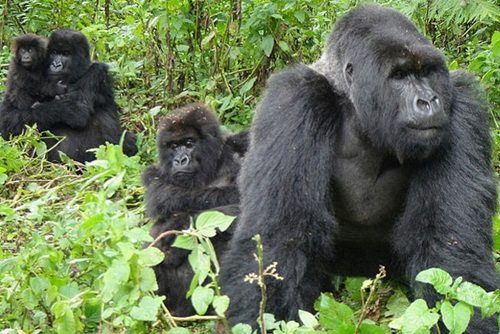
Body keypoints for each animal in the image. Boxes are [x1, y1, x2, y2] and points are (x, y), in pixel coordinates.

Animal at [0, 28, 137, 162]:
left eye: (66, 54)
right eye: (54, 52)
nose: (55, 65)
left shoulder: (101, 78)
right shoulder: (18, 78)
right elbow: (6, 120)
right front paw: (66, 110)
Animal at [220, 4, 500, 332]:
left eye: (427, 73)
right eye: (399, 75)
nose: (430, 100)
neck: (357, 112)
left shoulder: (462, 104)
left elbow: (452, 252)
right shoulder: (294, 98)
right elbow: (279, 237)